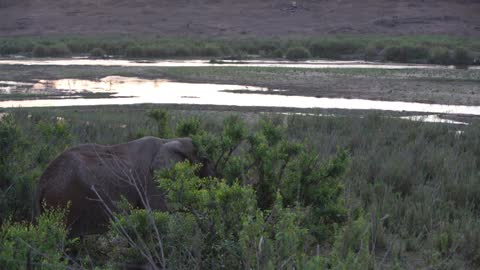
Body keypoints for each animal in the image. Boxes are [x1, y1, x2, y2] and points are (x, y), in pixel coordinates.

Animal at [34, 136, 214, 237]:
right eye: (204, 161)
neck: (170, 141)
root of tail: (42, 184)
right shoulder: (152, 180)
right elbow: (160, 212)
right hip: (66, 200)